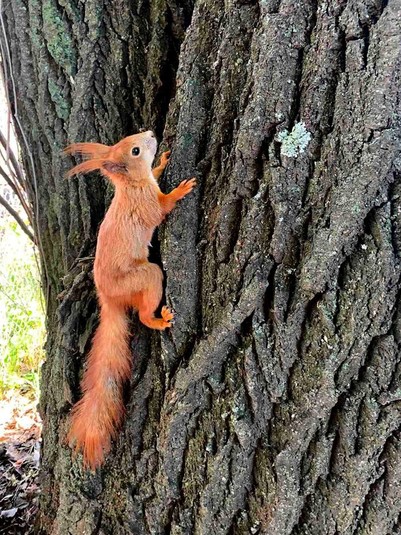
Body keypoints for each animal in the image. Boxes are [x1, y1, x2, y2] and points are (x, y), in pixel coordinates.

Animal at [64, 130, 196, 470]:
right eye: (135, 150)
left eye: (130, 139)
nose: (150, 133)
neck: (133, 186)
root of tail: (108, 300)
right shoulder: (148, 206)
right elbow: (163, 207)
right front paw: (180, 189)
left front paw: (162, 161)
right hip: (146, 277)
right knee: (144, 313)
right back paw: (159, 320)